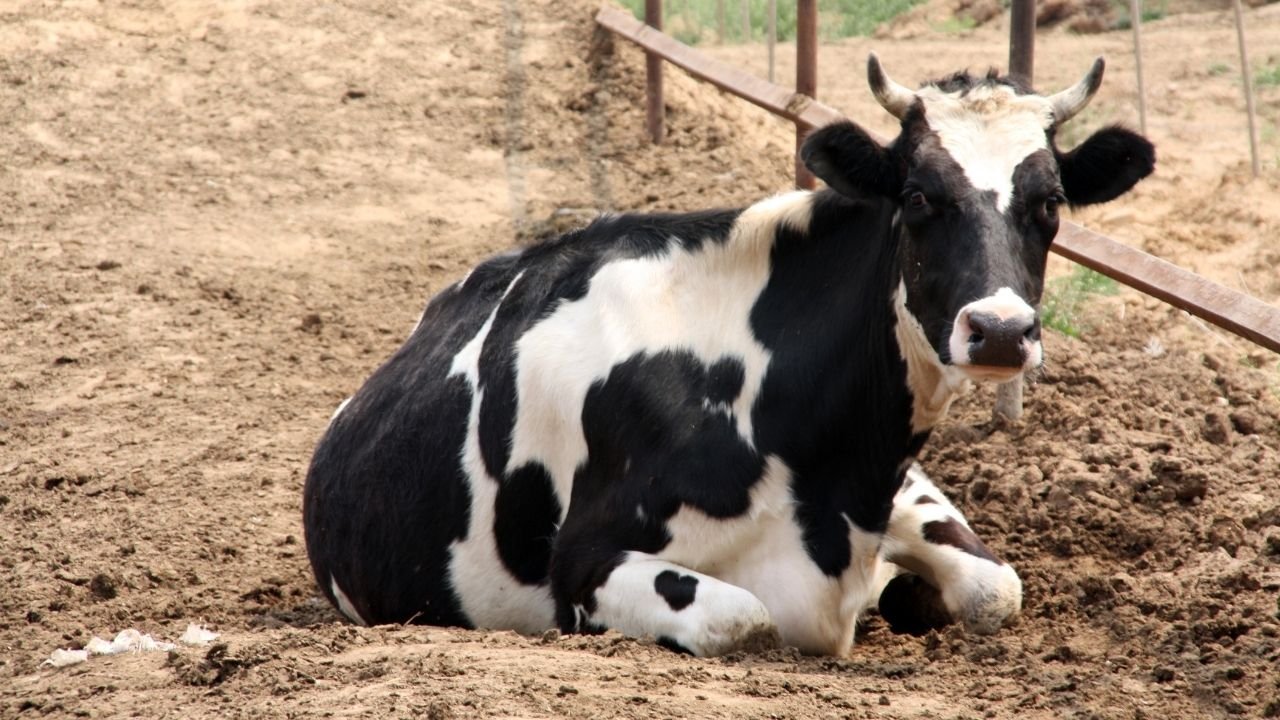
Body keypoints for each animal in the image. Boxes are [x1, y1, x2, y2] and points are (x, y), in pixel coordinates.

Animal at [302, 54, 1154, 657]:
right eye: (916, 196)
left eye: (1051, 203)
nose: (1001, 330)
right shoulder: (584, 562)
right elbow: (746, 619)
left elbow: (994, 586)